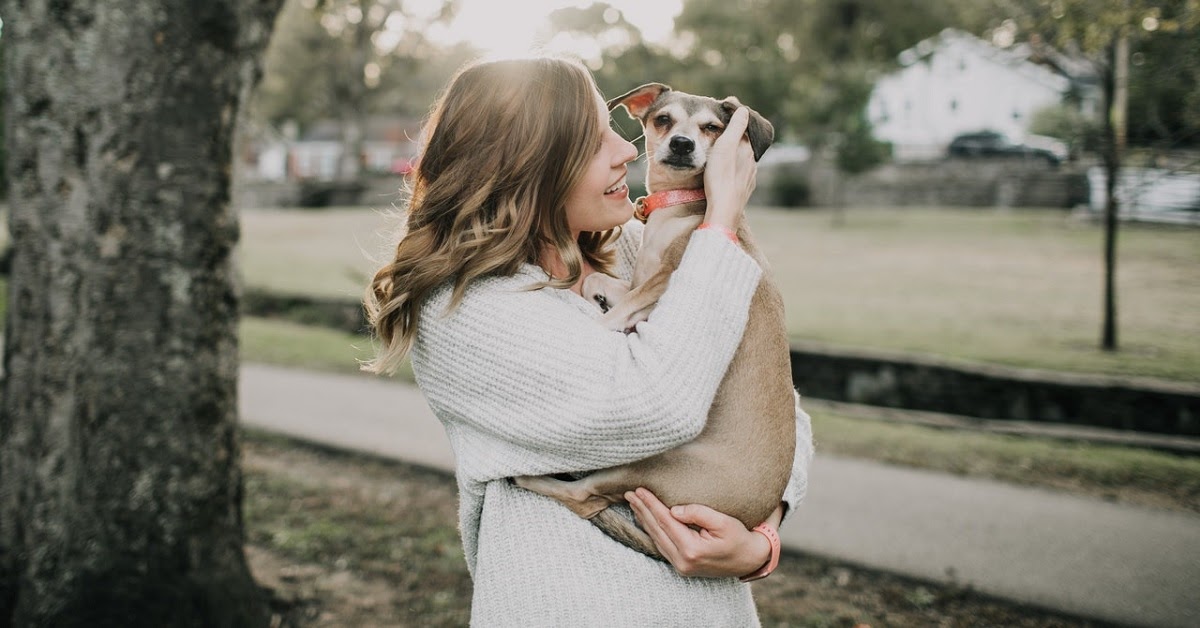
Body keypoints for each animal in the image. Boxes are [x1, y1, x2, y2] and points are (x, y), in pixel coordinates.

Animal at [516, 83, 796, 559]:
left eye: (712, 128)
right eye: (663, 120)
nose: (682, 145)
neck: (682, 207)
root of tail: (748, 516)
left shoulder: (662, 285)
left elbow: (619, 313)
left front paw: (602, 324)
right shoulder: (638, 283)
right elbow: (600, 283)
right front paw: (596, 298)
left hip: (652, 462)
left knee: (584, 498)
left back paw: (529, 477)